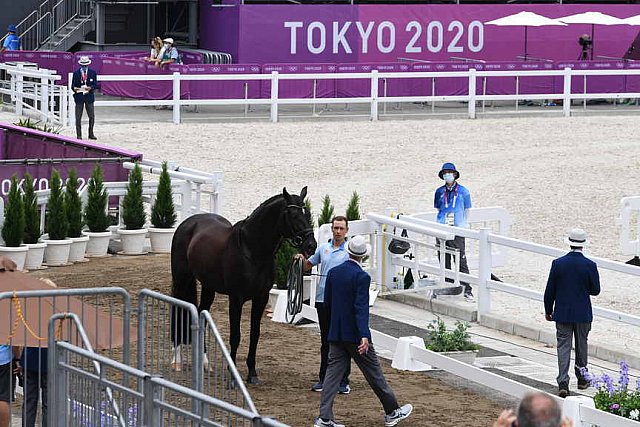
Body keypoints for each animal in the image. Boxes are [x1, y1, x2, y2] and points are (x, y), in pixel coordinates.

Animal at [169, 187, 316, 384]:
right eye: (293, 215)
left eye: (306, 213)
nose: (311, 245)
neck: (252, 250)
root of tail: (187, 223)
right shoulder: (236, 299)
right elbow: (235, 336)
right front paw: (233, 377)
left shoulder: (261, 298)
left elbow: (255, 335)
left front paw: (252, 374)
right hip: (181, 280)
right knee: (177, 311)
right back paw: (176, 360)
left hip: (208, 287)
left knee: (200, 314)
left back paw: (205, 363)